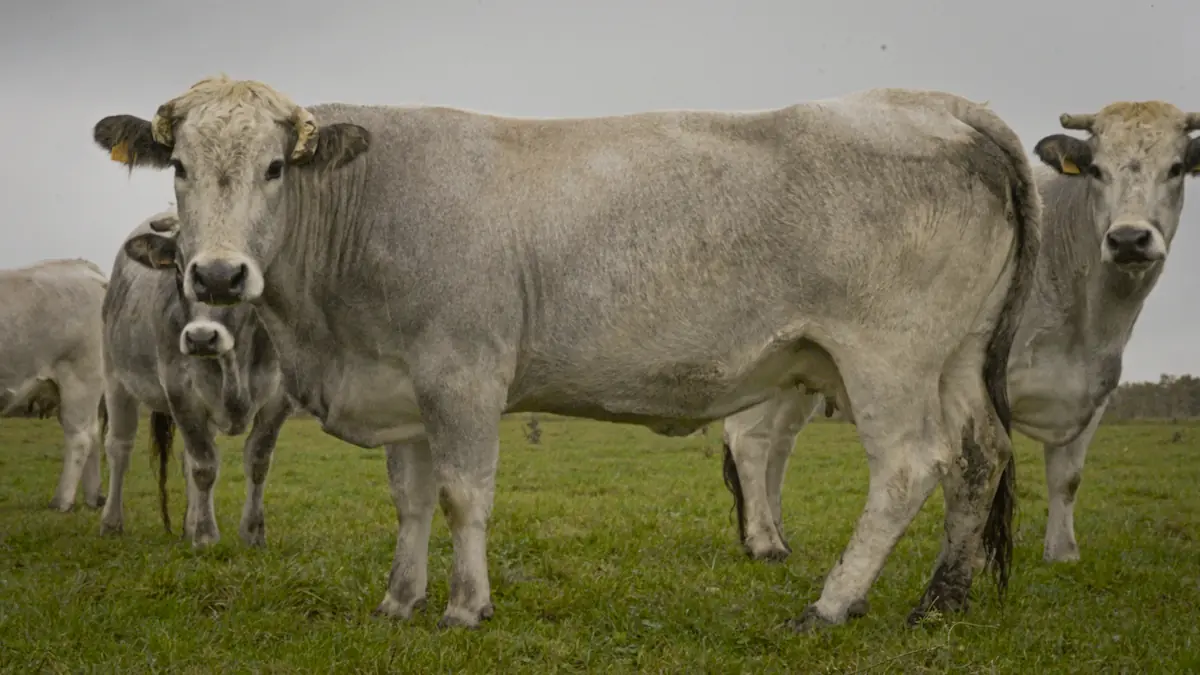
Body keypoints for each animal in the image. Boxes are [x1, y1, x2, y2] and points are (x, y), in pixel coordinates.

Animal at [1, 258, 109, 511]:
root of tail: (81, 266)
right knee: (92, 433)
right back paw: (93, 497)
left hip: (79, 379)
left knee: (79, 437)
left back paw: (62, 501)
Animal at [98, 209, 293, 547]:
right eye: (178, 269)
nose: (201, 337)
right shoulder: (181, 393)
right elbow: (204, 465)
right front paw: (205, 535)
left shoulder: (279, 399)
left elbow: (257, 460)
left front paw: (252, 532)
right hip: (116, 378)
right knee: (119, 447)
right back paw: (112, 521)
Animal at [721, 100, 1200, 566]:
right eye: (1097, 169)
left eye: (1176, 168)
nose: (1130, 239)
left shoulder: (1095, 393)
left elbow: (1067, 477)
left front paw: (1063, 553)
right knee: (751, 441)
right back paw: (765, 541)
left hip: (798, 374)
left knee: (780, 446)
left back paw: (776, 533)